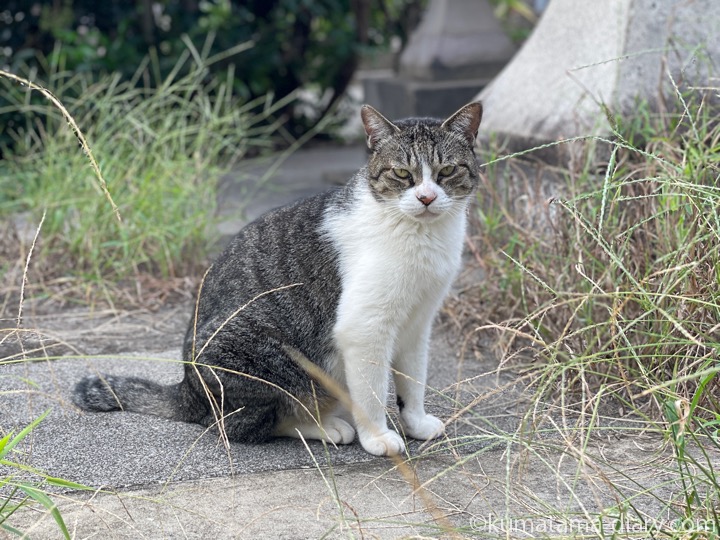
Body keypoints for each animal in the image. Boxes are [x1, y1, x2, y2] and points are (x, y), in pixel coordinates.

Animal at [74, 101, 484, 456]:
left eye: (447, 171)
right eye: (402, 174)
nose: (427, 197)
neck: (422, 238)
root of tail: (186, 390)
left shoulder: (418, 321)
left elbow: (413, 380)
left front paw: (415, 423)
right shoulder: (365, 327)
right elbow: (370, 391)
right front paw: (378, 438)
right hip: (269, 357)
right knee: (238, 424)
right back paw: (324, 427)